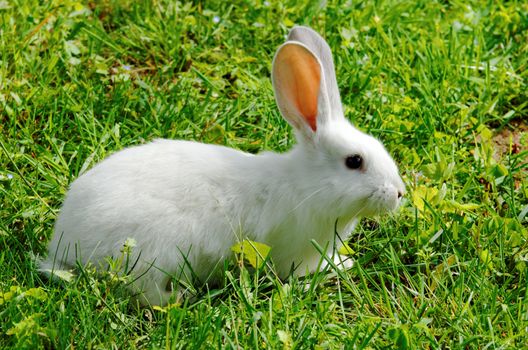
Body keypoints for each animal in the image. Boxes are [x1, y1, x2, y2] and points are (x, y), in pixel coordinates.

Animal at [40, 26, 404, 306]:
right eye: (354, 161)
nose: (399, 193)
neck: (307, 184)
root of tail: (63, 243)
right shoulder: (291, 251)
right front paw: (337, 268)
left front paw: (343, 261)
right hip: (155, 253)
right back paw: (180, 298)